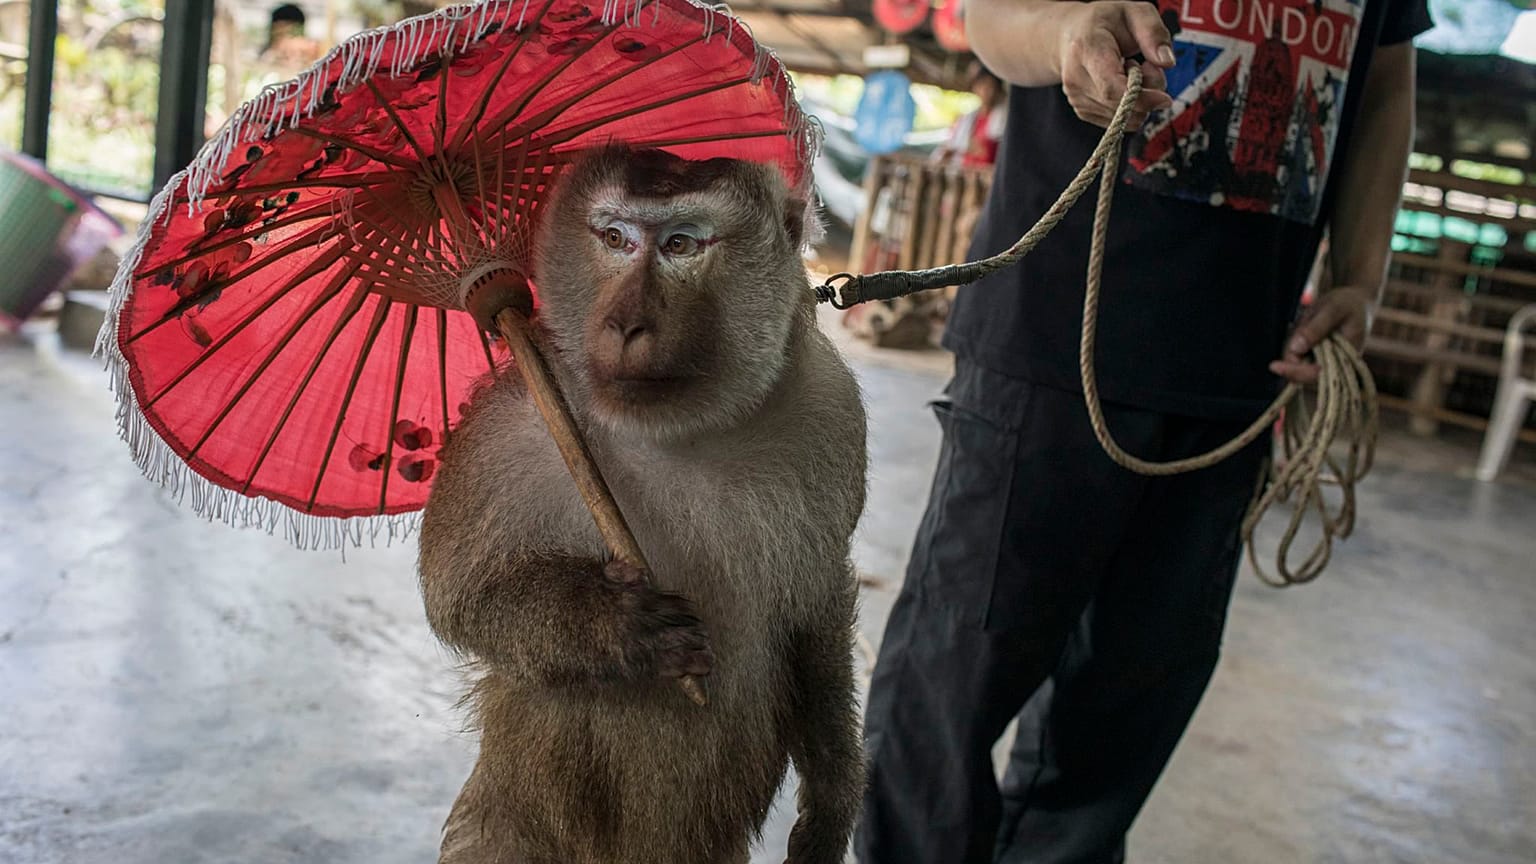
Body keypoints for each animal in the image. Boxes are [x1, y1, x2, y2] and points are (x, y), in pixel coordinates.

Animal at [417, 145, 869, 864]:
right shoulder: (507, 425)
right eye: (615, 239)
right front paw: (616, 623)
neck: (677, 430)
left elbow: (815, 605)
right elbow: (461, 595)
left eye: (681, 244)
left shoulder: (830, 410)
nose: (626, 323)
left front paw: (831, 801)